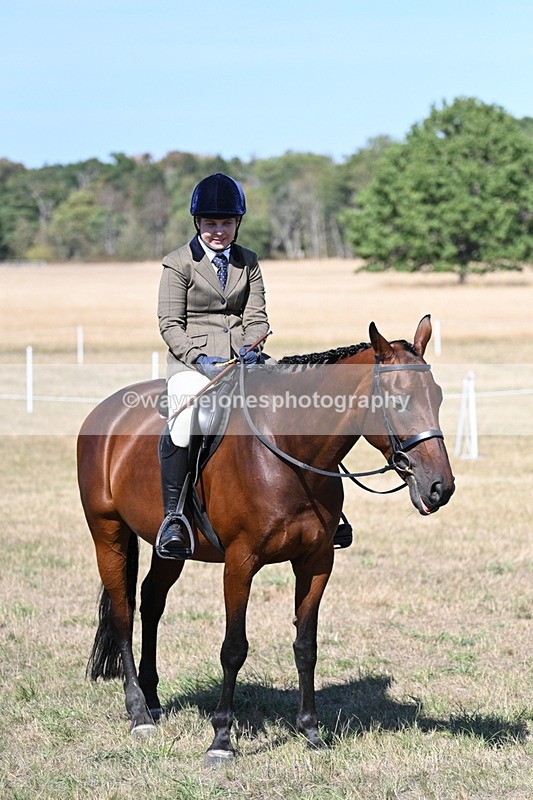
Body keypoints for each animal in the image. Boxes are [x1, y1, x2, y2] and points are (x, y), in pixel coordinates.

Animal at [77, 315, 455, 763]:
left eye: (438, 396)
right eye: (398, 401)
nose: (440, 488)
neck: (291, 454)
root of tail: (107, 410)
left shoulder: (316, 562)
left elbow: (306, 646)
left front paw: (311, 731)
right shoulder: (240, 563)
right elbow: (233, 648)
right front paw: (221, 739)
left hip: (169, 548)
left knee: (152, 601)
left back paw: (152, 701)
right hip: (108, 534)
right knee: (123, 612)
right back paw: (138, 713)